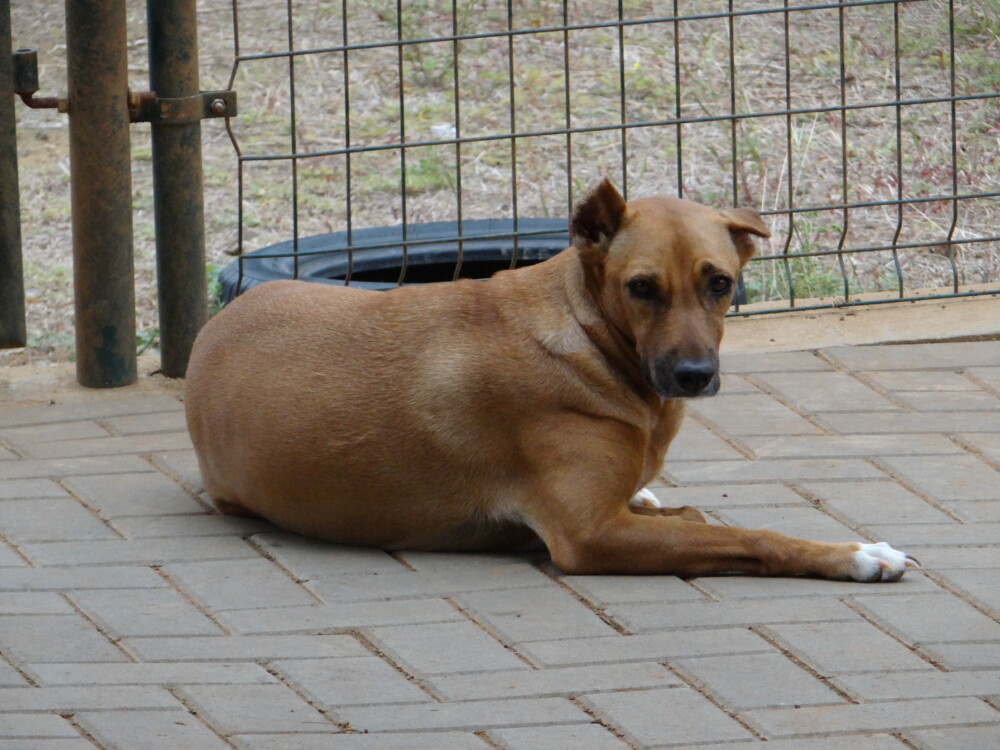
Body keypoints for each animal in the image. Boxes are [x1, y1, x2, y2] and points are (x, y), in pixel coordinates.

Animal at [185, 179, 918, 582]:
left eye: (720, 283)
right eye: (641, 287)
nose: (693, 375)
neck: (591, 337)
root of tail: (211, 334)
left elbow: (697, 516)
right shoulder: (590, 534)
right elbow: (749, 537)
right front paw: (856, 554)